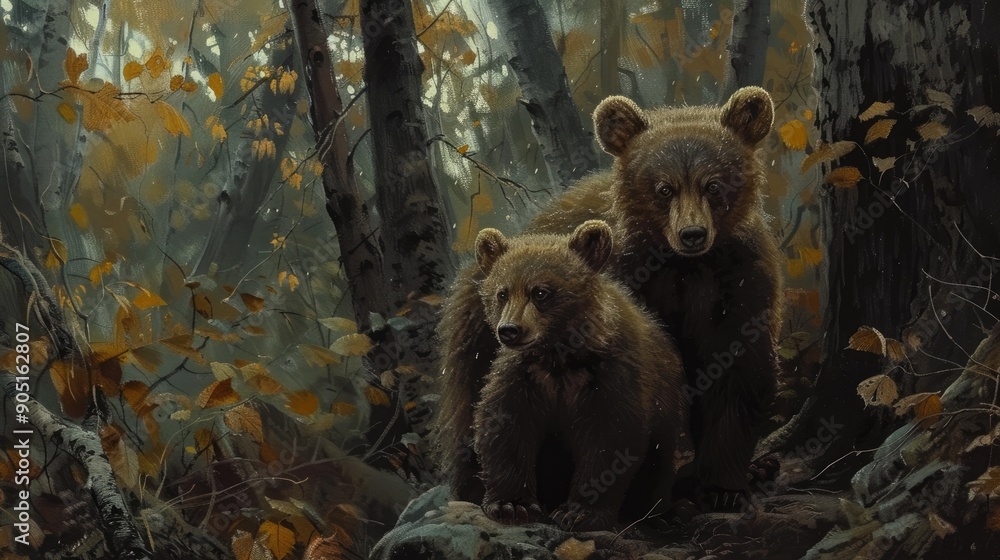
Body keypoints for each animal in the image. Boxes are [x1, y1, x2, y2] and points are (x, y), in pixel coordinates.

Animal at [470, 220, 685, 530]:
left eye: (541, 292)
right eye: (502, 293)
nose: (509, 330)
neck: (560, 358)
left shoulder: (614, 374)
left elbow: (611, 437)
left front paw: (579, 512)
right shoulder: (524, 377)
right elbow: (506, 427)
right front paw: (512, 505)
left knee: (659, 461)